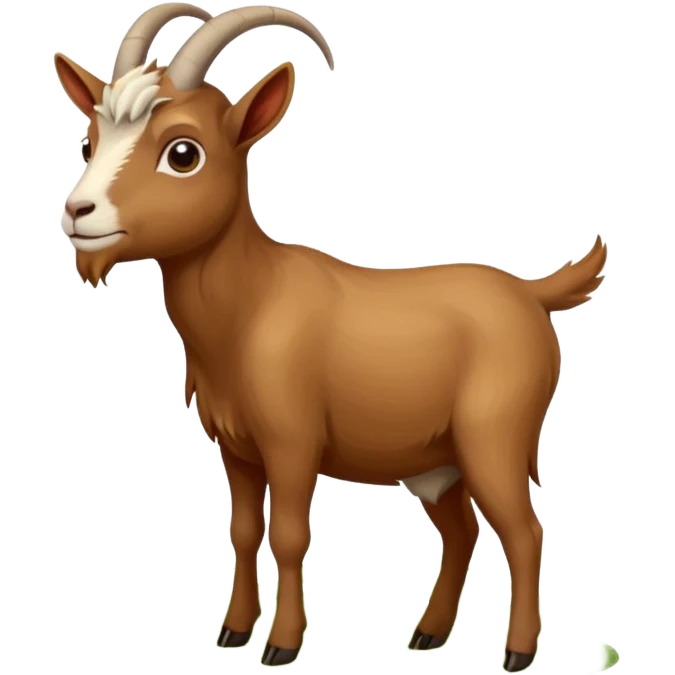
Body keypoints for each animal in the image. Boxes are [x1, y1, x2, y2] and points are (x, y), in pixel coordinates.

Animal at [54, 3, 608, 671]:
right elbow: (244, 531)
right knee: (462, 531)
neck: (252, 303)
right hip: (438, 458)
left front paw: (282, 644)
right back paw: (427, 635)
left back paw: (519, 652)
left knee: (524, 533)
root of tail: (532, 293)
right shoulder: (237, 450)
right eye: (89, 141)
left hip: (493, 437)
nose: (78, 213)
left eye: (183, 152)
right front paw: (234, 632)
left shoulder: (292, 443)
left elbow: (290, 536)